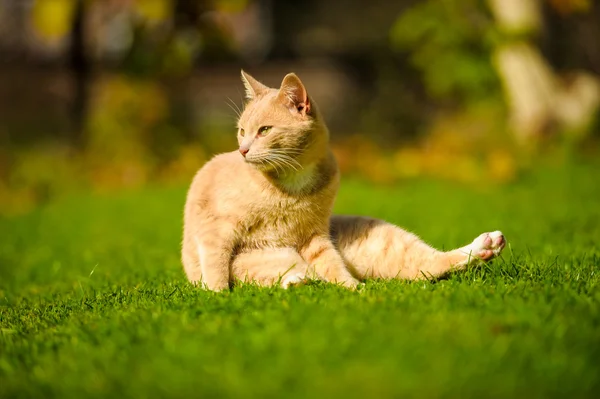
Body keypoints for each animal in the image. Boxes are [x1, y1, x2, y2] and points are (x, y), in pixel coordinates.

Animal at [179, 71, 506, 290]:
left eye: (264, 130)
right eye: (241, 131)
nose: (243, 150)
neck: (292, 182)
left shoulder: (315, 237)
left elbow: (333, 267)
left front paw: (353, 290)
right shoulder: (215, 230)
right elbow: (216, 267)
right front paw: (218, 296)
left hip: (385, 243)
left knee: (430, 265)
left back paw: (485, 246)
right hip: (256, 264)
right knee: (279, 279)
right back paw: (296, 282)